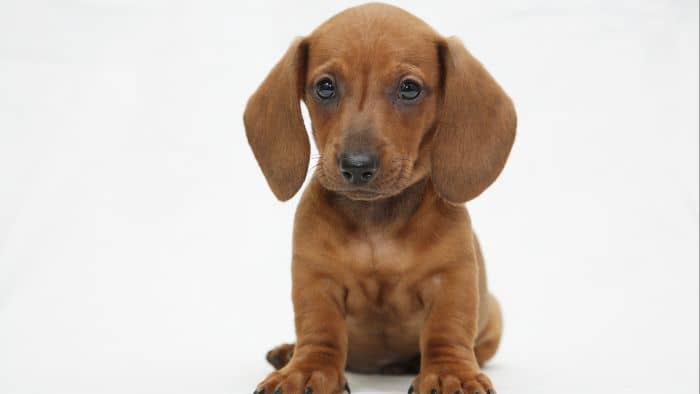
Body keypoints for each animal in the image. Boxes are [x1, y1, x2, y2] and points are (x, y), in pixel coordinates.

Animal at [245, 3, 516, 394]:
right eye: (325, 87)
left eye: (409, 88)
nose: (357, 166)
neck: (376, 223)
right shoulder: (317, 280)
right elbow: (319, 329)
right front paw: (306, 368)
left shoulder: (451, 278)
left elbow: (447, 330)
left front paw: (450, 372)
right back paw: (287, 352)